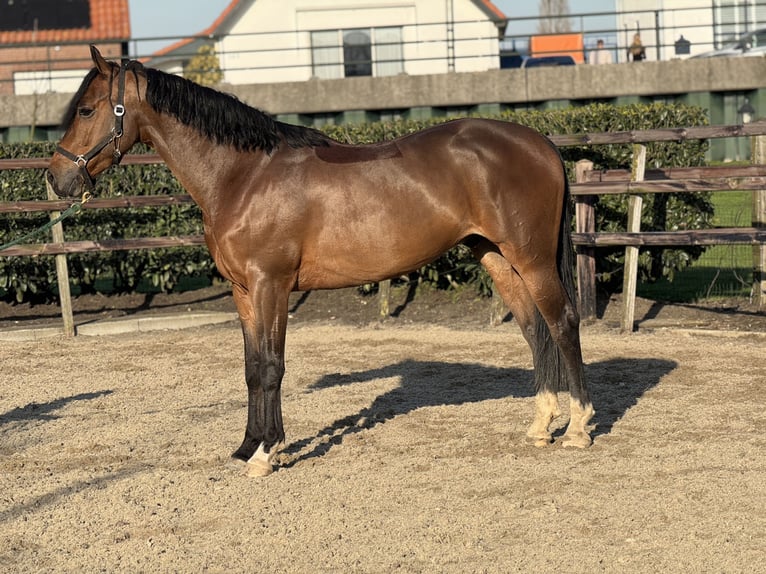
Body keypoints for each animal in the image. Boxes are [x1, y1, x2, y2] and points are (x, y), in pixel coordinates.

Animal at [47, 46, 594, 477]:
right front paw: (247, 446)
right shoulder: (243, 291)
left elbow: (272, 365)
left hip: (533, 259)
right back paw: (541, 425)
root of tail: (542, 144)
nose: (56, 179)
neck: (244, 176)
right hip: (497, 257)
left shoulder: (270, 285)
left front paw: (267, 454)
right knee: (534, 329)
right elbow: (251, 367)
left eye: (87, 110)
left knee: (563, 323)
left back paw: (579, 428)